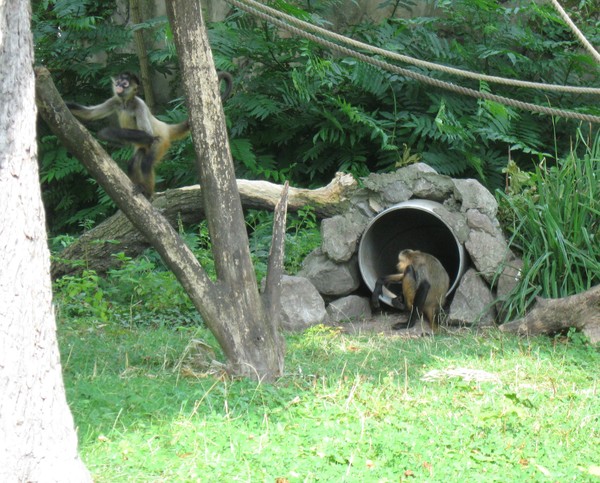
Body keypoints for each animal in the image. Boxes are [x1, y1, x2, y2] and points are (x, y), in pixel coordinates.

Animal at [67, 70, 233, 199]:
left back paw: (147, 192)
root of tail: (165, 127)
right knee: (134, 161)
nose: (119, 86)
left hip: (160, 143)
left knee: (146, 163)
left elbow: (147, 135)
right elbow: (90, 114)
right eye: (119, 81)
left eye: (125, 84)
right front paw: (66, 105)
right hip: (145, 147)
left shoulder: (139, 105)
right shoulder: (116, 100)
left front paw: (107, 133)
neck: (126, 103)